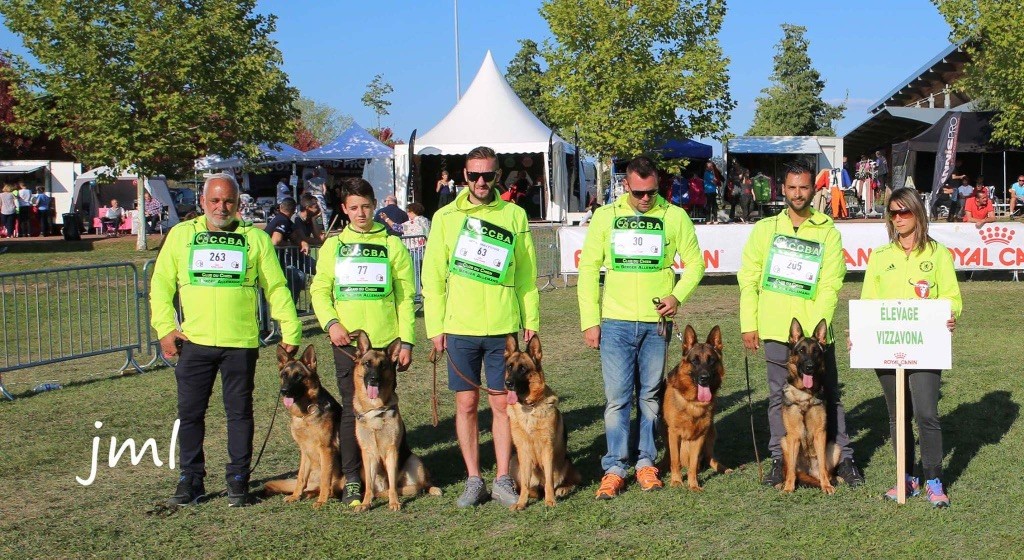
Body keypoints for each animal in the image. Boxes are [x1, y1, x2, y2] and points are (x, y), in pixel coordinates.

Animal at [262, 343, 346, 509]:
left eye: (298, 376)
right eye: (284, 375)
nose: (284, 391)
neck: (306, 413)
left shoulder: (326, 449)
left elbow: (326, 479)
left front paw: (321, 501)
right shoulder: (305, 450)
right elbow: (301, 477)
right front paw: (296, 496)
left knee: (331, 487)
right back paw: (308, 494)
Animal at [352, 333, 440, 511]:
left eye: (383, 366)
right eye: (367, 364)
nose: (374, 379)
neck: (375, 410)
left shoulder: (391, 451)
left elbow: (393, 484)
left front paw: (394, 503)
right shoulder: (368, 454)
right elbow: (369, 487)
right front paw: (365, 503)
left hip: (414, 460)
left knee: (422, 484)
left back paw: (432, 489)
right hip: (364, 469)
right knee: (378, 489)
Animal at [505, 335, 581, 509]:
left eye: (523, 369)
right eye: (509, 367)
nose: (508, 383)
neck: (529, 408)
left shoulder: (548, 448)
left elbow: (549, 481)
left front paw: (550, 500)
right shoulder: (523, 450)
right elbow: (525, 484)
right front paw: (521, 503)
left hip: (565, 462)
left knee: (571, 481)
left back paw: (563, 489)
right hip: (515, 461)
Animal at [663, 323, 729, 491]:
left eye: (711, 361)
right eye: (695, 361)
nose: (704, 378)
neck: (693, 402)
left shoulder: (700, 436)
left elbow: (693, 465)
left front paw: (693, 485)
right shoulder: (673, 434)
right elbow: (675, 461)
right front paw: (676, 481)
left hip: (711, 432)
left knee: (709, 457)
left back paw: (723, 468)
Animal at [782, 319, 839, 495]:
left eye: (816, 352)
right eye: (801, 351)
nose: (810, 367)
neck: (804, 396)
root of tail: (808, 470)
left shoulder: (820, 433)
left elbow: (822, 466)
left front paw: (826, 486)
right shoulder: (793, 436)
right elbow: (791, 470)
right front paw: (788, 487)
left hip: (835, 447)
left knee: (825, 470)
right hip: (784, 441)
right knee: (792, 469)